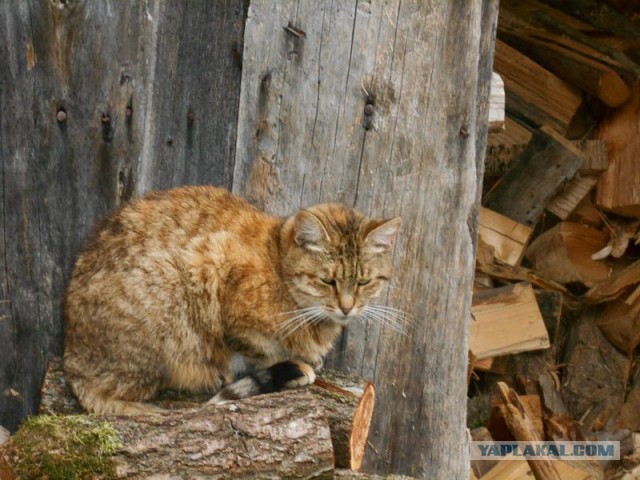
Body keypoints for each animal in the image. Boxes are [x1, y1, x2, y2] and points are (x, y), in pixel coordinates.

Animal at [66, 186, 404, 414]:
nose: (347, 307)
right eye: (328, 281)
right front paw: (291, 362)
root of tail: (72, 361)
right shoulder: (217, 268)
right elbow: (260, 348)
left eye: (364, 282)